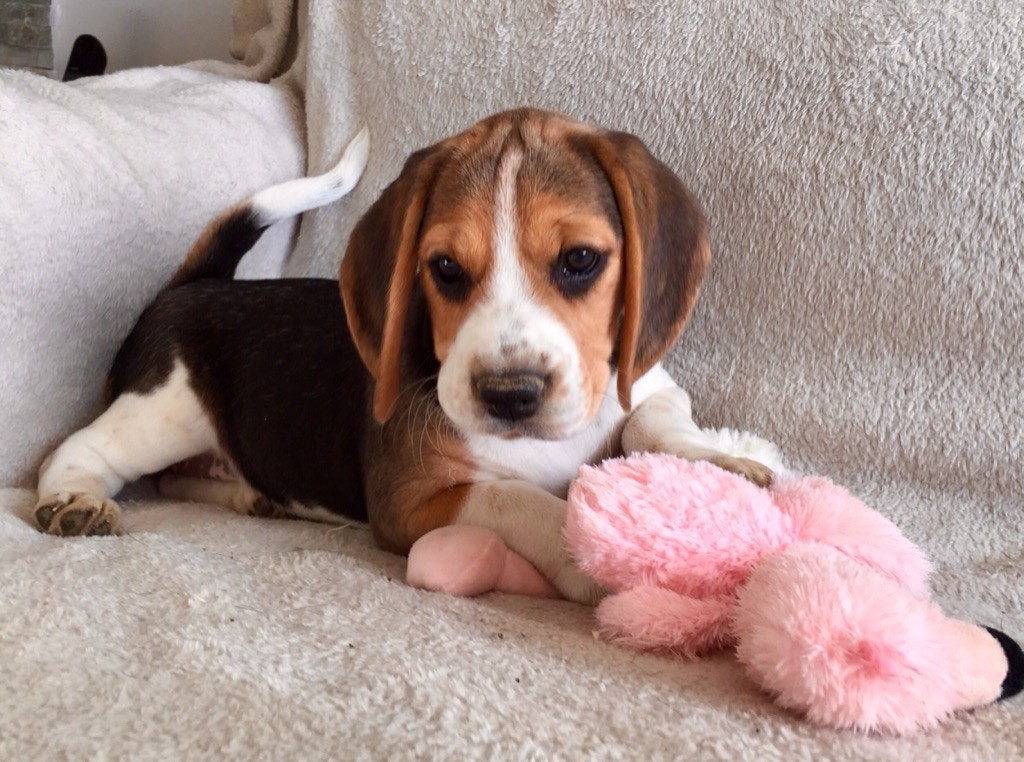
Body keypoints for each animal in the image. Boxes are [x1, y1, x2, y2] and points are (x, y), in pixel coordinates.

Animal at [34, 109, 777, 604]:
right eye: (444, 268)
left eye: (581, 260)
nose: (509, 394)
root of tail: (191, 285)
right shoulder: (413, 499)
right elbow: (523, 499)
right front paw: (591, 561)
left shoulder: (648, 385)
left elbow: (655, 422)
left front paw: (726, 466)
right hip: (163, 411)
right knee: (84, 450)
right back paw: (73, 498)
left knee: (181, 479)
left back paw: (252, 496)